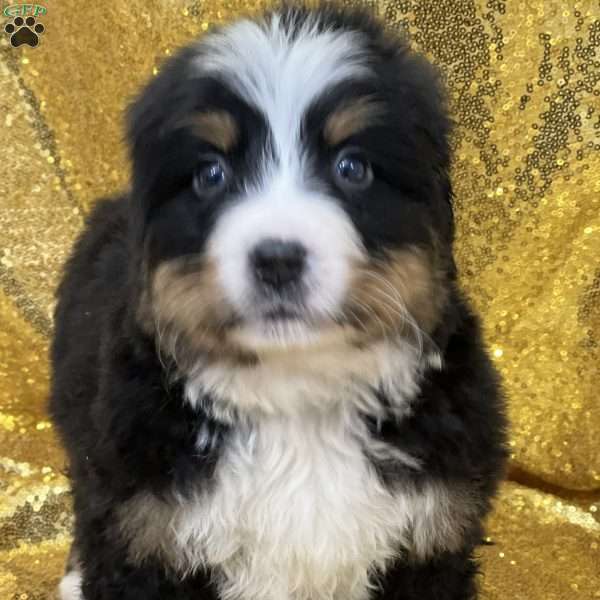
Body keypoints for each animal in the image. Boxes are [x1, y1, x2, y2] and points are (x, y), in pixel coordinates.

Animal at [50, 5, 506, 600]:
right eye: (211, 175)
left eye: (352, 168)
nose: (278, 259)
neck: (297, 400)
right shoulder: (144, 530)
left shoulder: (434, 534)